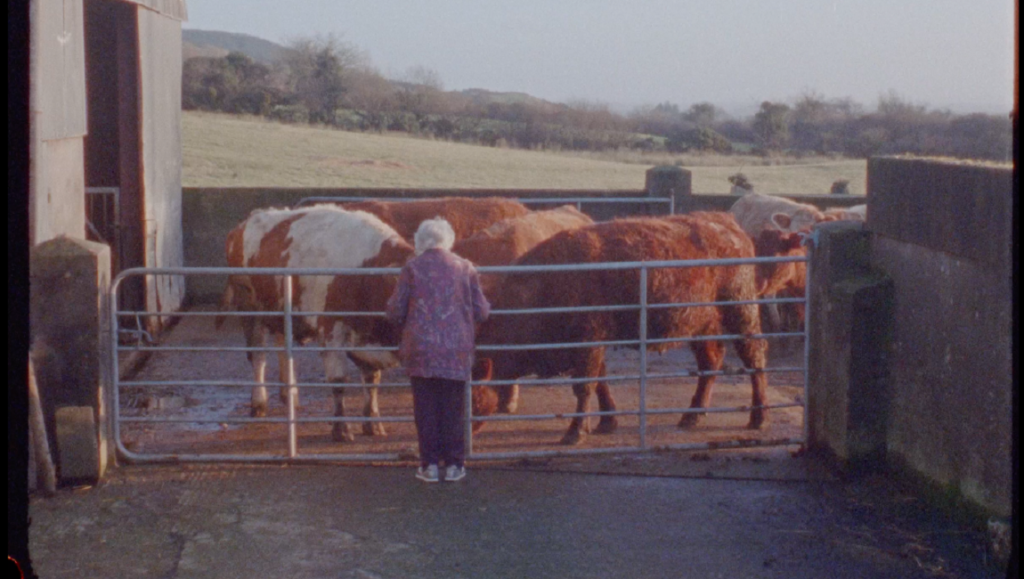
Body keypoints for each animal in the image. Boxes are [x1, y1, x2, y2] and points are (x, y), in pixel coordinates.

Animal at [473, 213, 770, 445]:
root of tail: (728, 224)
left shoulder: (588, 343)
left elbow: (584, 386)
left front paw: (574, 432)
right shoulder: (596, 344)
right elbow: (601, 381)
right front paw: (607, 422)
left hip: (740, 311)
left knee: (754, 357)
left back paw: (758, 416)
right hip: (700, 325)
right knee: (711, 361)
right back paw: (691, 416)